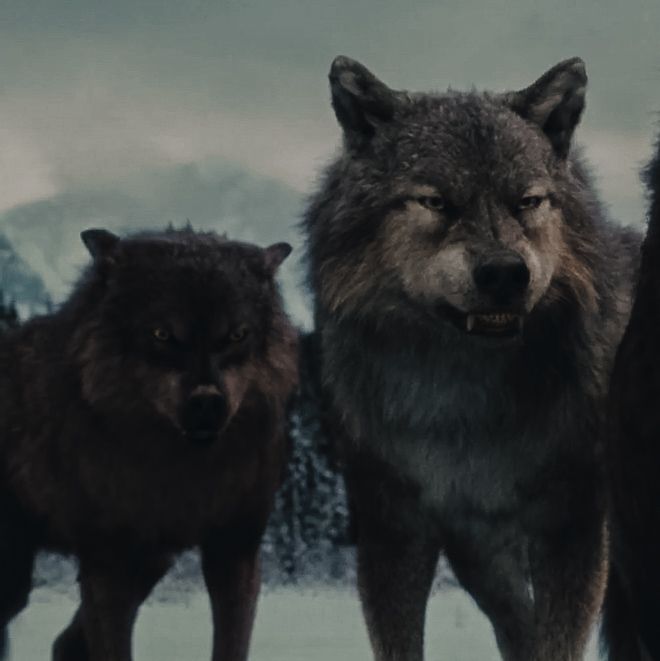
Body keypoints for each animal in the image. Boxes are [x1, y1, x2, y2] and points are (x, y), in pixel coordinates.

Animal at [0, 228, 296, 660]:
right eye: (162, 334)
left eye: (237, 335)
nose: (207, 402)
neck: (184, 471)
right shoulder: (109, 563)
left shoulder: (234, 549)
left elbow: (231, 646)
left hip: (151, 563)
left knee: (66, 643)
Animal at [302, 56, 640, 660]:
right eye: (437, 201)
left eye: (526, 201)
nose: (505, 273)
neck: (461, 406)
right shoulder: (408, 530)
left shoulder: (572, 524)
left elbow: (555, 643)